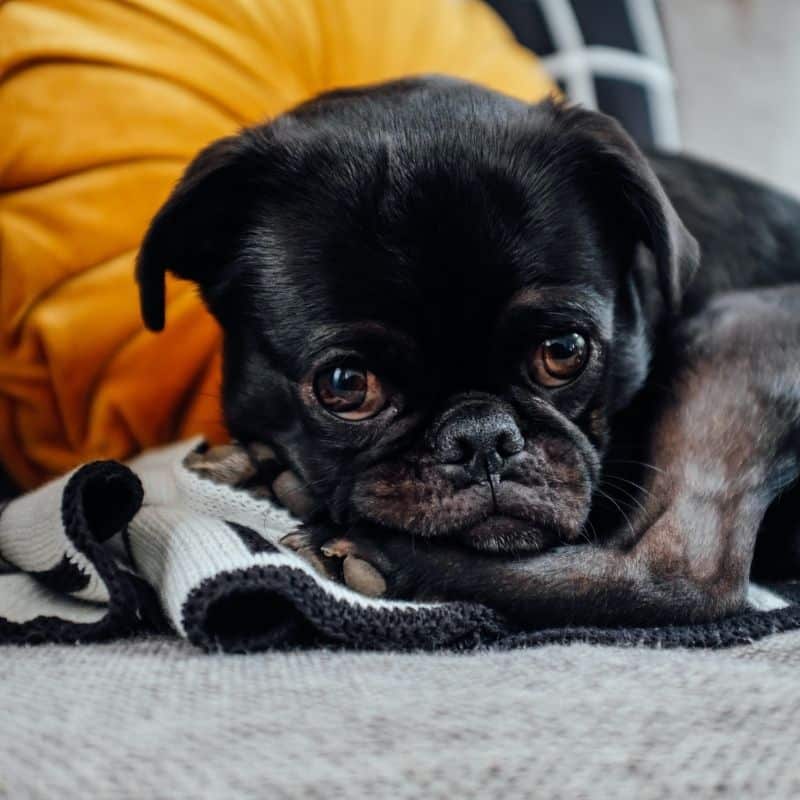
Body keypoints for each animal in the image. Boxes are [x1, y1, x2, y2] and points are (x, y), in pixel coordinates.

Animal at [136, 75, 800, 624]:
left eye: (563, 350)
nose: (482, 436)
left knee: (682, 573)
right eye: (346, 385)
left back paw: (381, 555)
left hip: (739, 330)